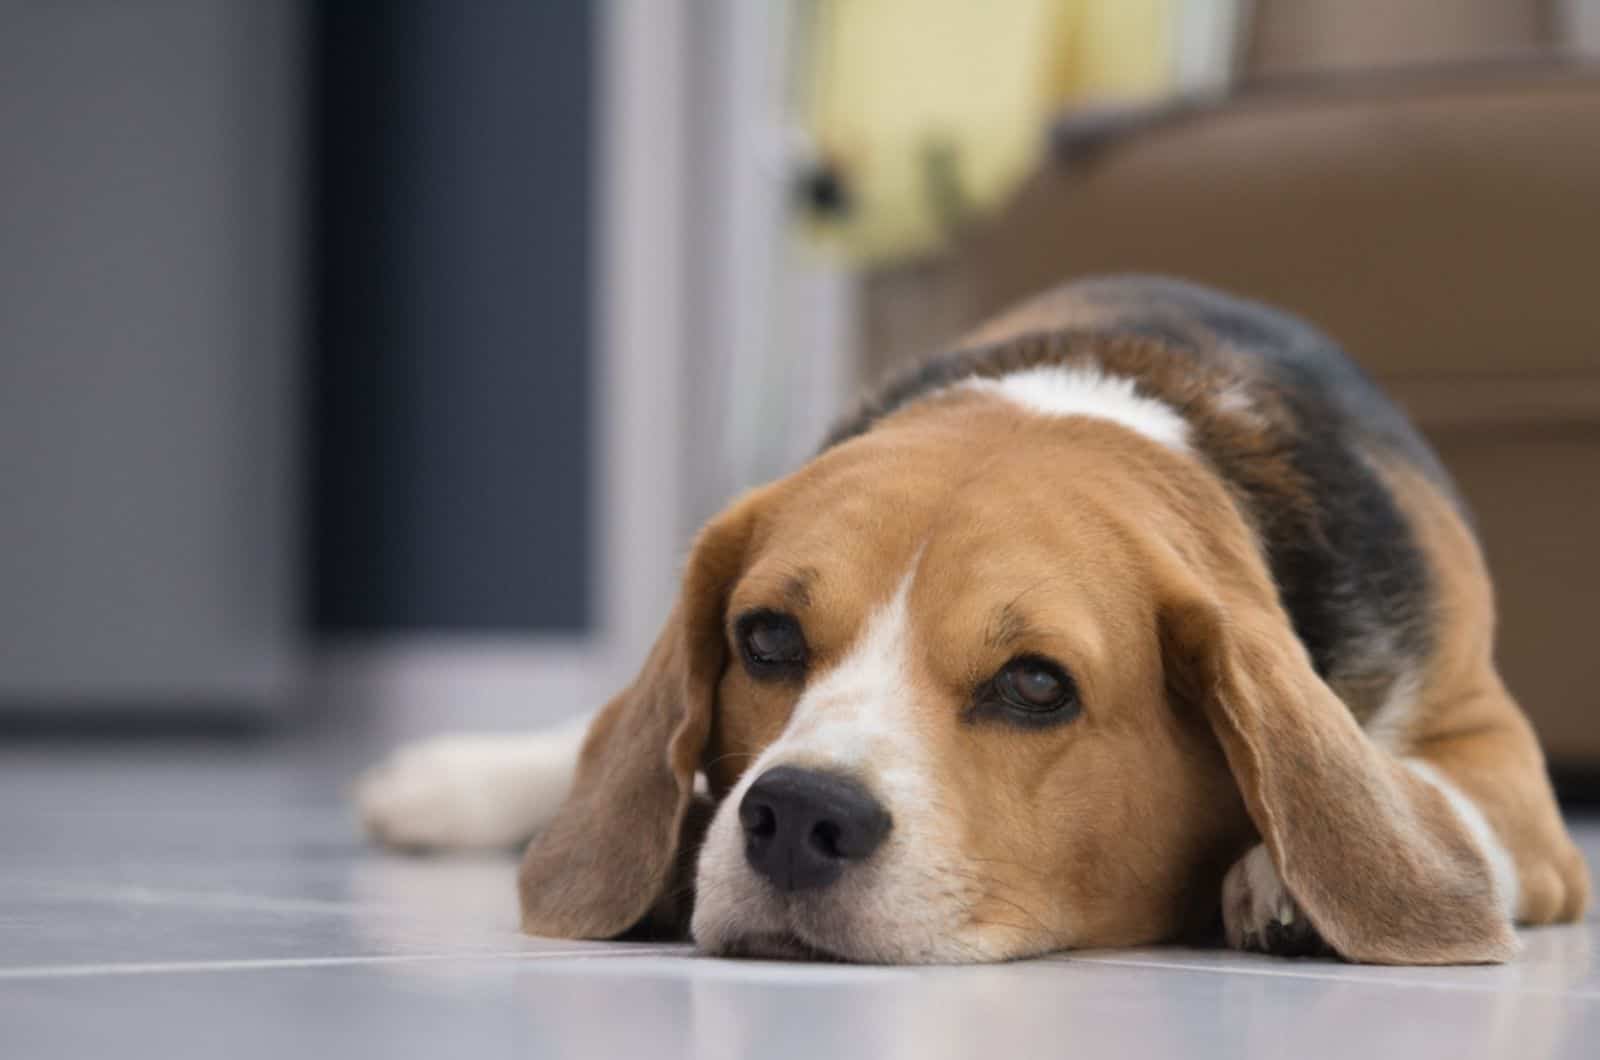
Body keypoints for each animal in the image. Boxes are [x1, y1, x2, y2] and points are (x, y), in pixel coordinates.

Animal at [363, 278, 1587, 967]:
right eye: (765, 639)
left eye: (1037, 684)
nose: (796, 817)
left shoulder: (1506, 765)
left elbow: (1436, 800)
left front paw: (1290, 877)